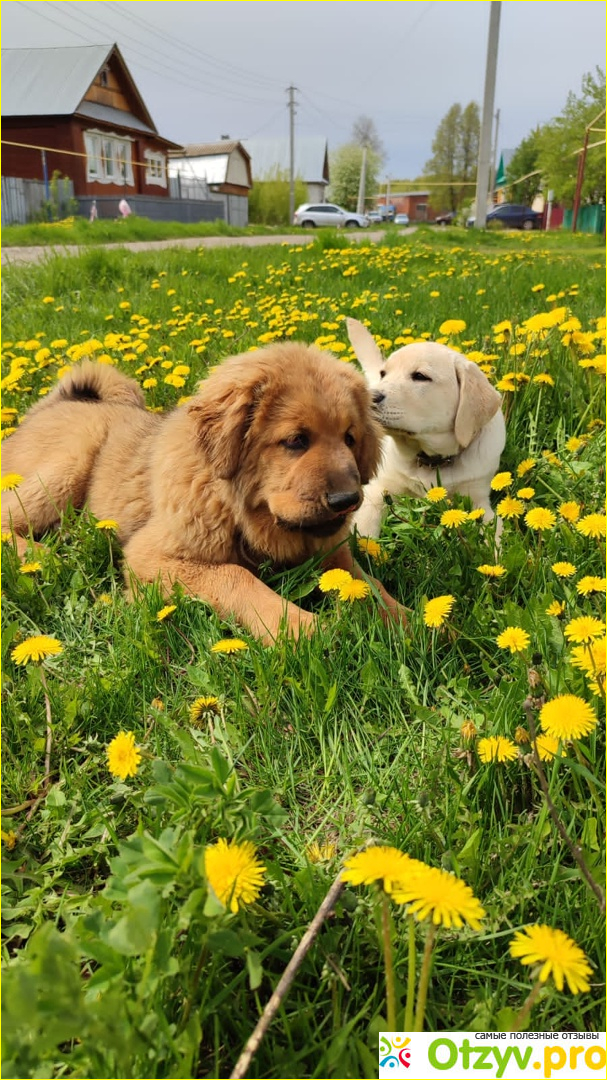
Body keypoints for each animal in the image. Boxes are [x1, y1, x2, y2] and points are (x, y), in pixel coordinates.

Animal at [2, 343, 403, 639]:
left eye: (350, 439)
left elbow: (365, 581)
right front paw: (299, 627)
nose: (347, 502)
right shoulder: (151, 556)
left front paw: (406, 621)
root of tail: (58, 402)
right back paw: (46, 555)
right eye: (295, 441)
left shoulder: (330, 549)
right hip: (69, 464)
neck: (241, 513)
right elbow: (235, 576)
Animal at [347, 319, 503, 540]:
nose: (368, 398)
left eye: (420, 376)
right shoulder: (379, 489)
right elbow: (364, 529)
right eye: (384, 374)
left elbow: (495, 531)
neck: (431, 460)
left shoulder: (478, 499)